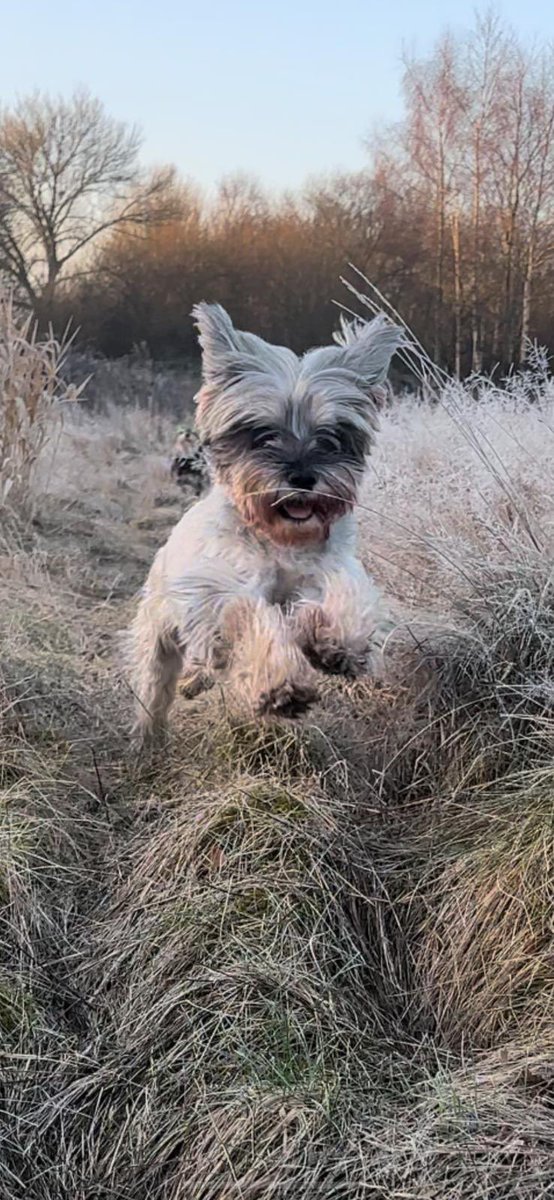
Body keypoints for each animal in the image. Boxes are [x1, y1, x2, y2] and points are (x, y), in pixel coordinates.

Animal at [127, 302, 400, 739]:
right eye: (262, 433)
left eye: (331, 435)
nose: (302, 476)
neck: (279, 538)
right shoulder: (219, 591)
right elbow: (249, 618)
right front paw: (281, 686)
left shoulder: (333, 568)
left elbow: (345, 598)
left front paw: (335, 643)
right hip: (159, 633)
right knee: (156, 685)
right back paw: (148, 738)